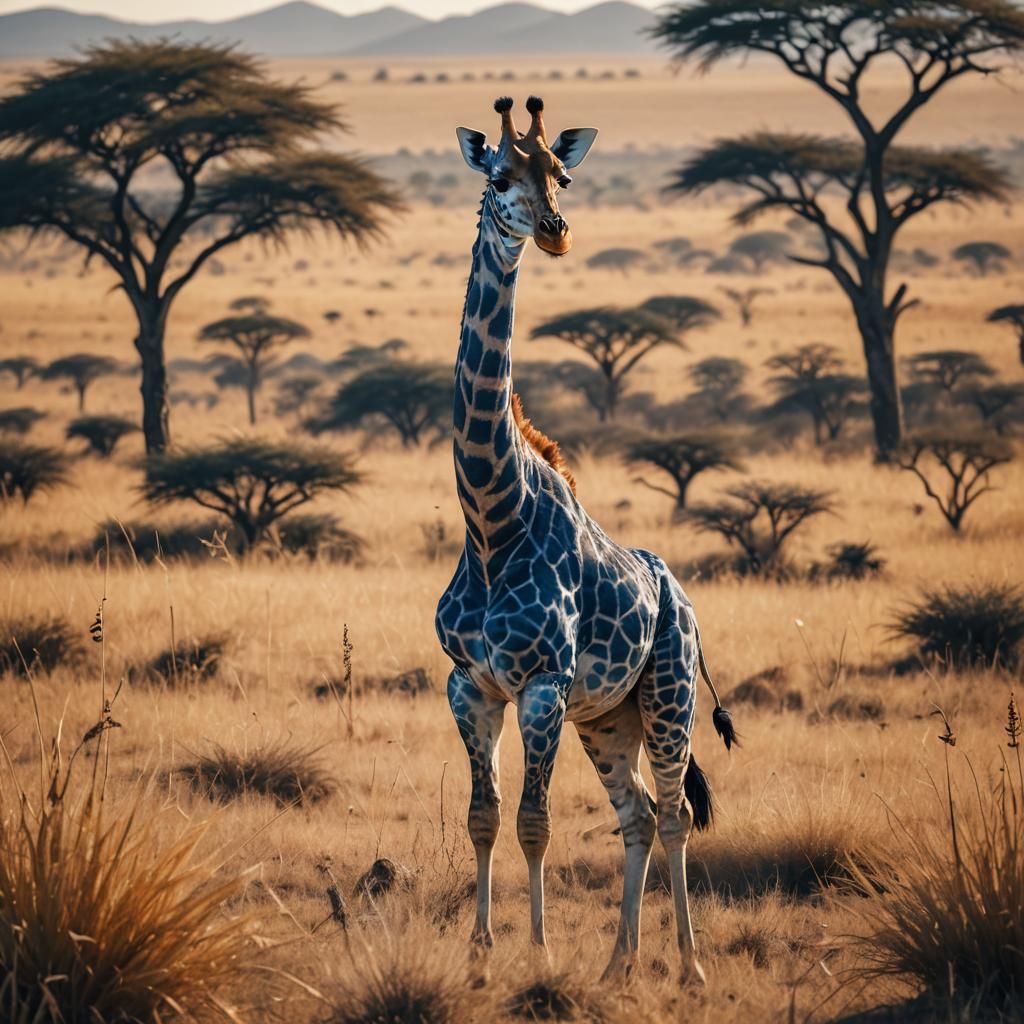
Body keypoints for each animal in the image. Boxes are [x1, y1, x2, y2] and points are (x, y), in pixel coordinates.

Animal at [435, 96, 737, 985]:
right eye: (500, 176)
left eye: (561, 176)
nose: (556, 230)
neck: (491, 522)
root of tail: (681, 593)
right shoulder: (469, 685)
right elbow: (484, 816)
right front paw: (480, 955)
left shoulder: (542, 684)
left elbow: (533, 822)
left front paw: (535, 954)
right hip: (608, 718)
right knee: (634, 815)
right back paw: (616, 966)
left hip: (669, 693)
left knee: (672, 814)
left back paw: (688, 966)